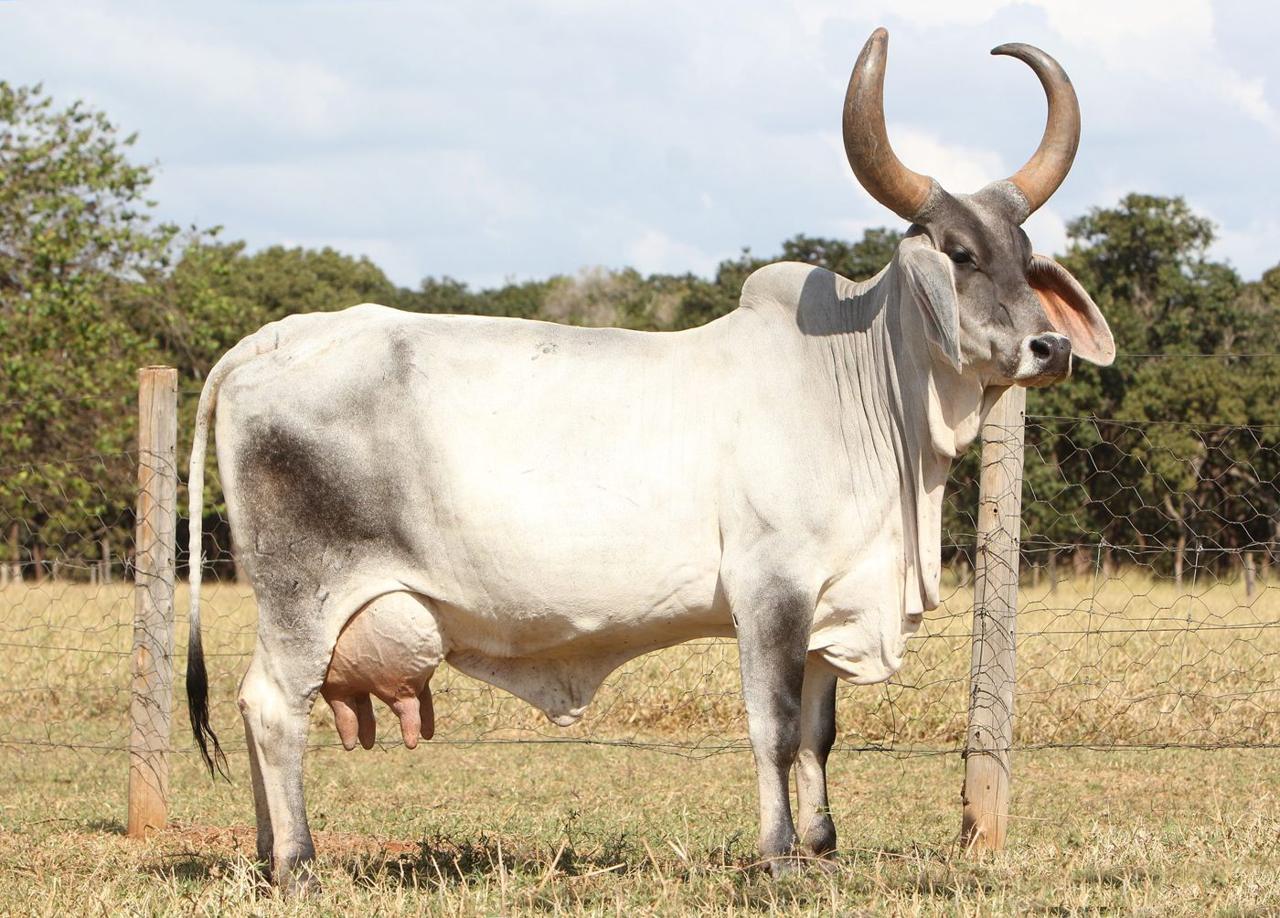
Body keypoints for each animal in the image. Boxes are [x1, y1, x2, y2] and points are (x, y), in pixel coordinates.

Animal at [185, 28, 1113, 892]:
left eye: (1025, 255)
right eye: (958, 253)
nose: (1051, 347)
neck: (859, 389)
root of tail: (273, 340)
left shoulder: (831, 600)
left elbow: (820, 733)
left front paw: (823, 849)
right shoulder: (770, 591)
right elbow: (775, 726)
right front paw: (779, 855)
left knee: (253, 705)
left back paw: (266, 854)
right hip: (303, 596)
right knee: (272, 707)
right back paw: (297, 862)